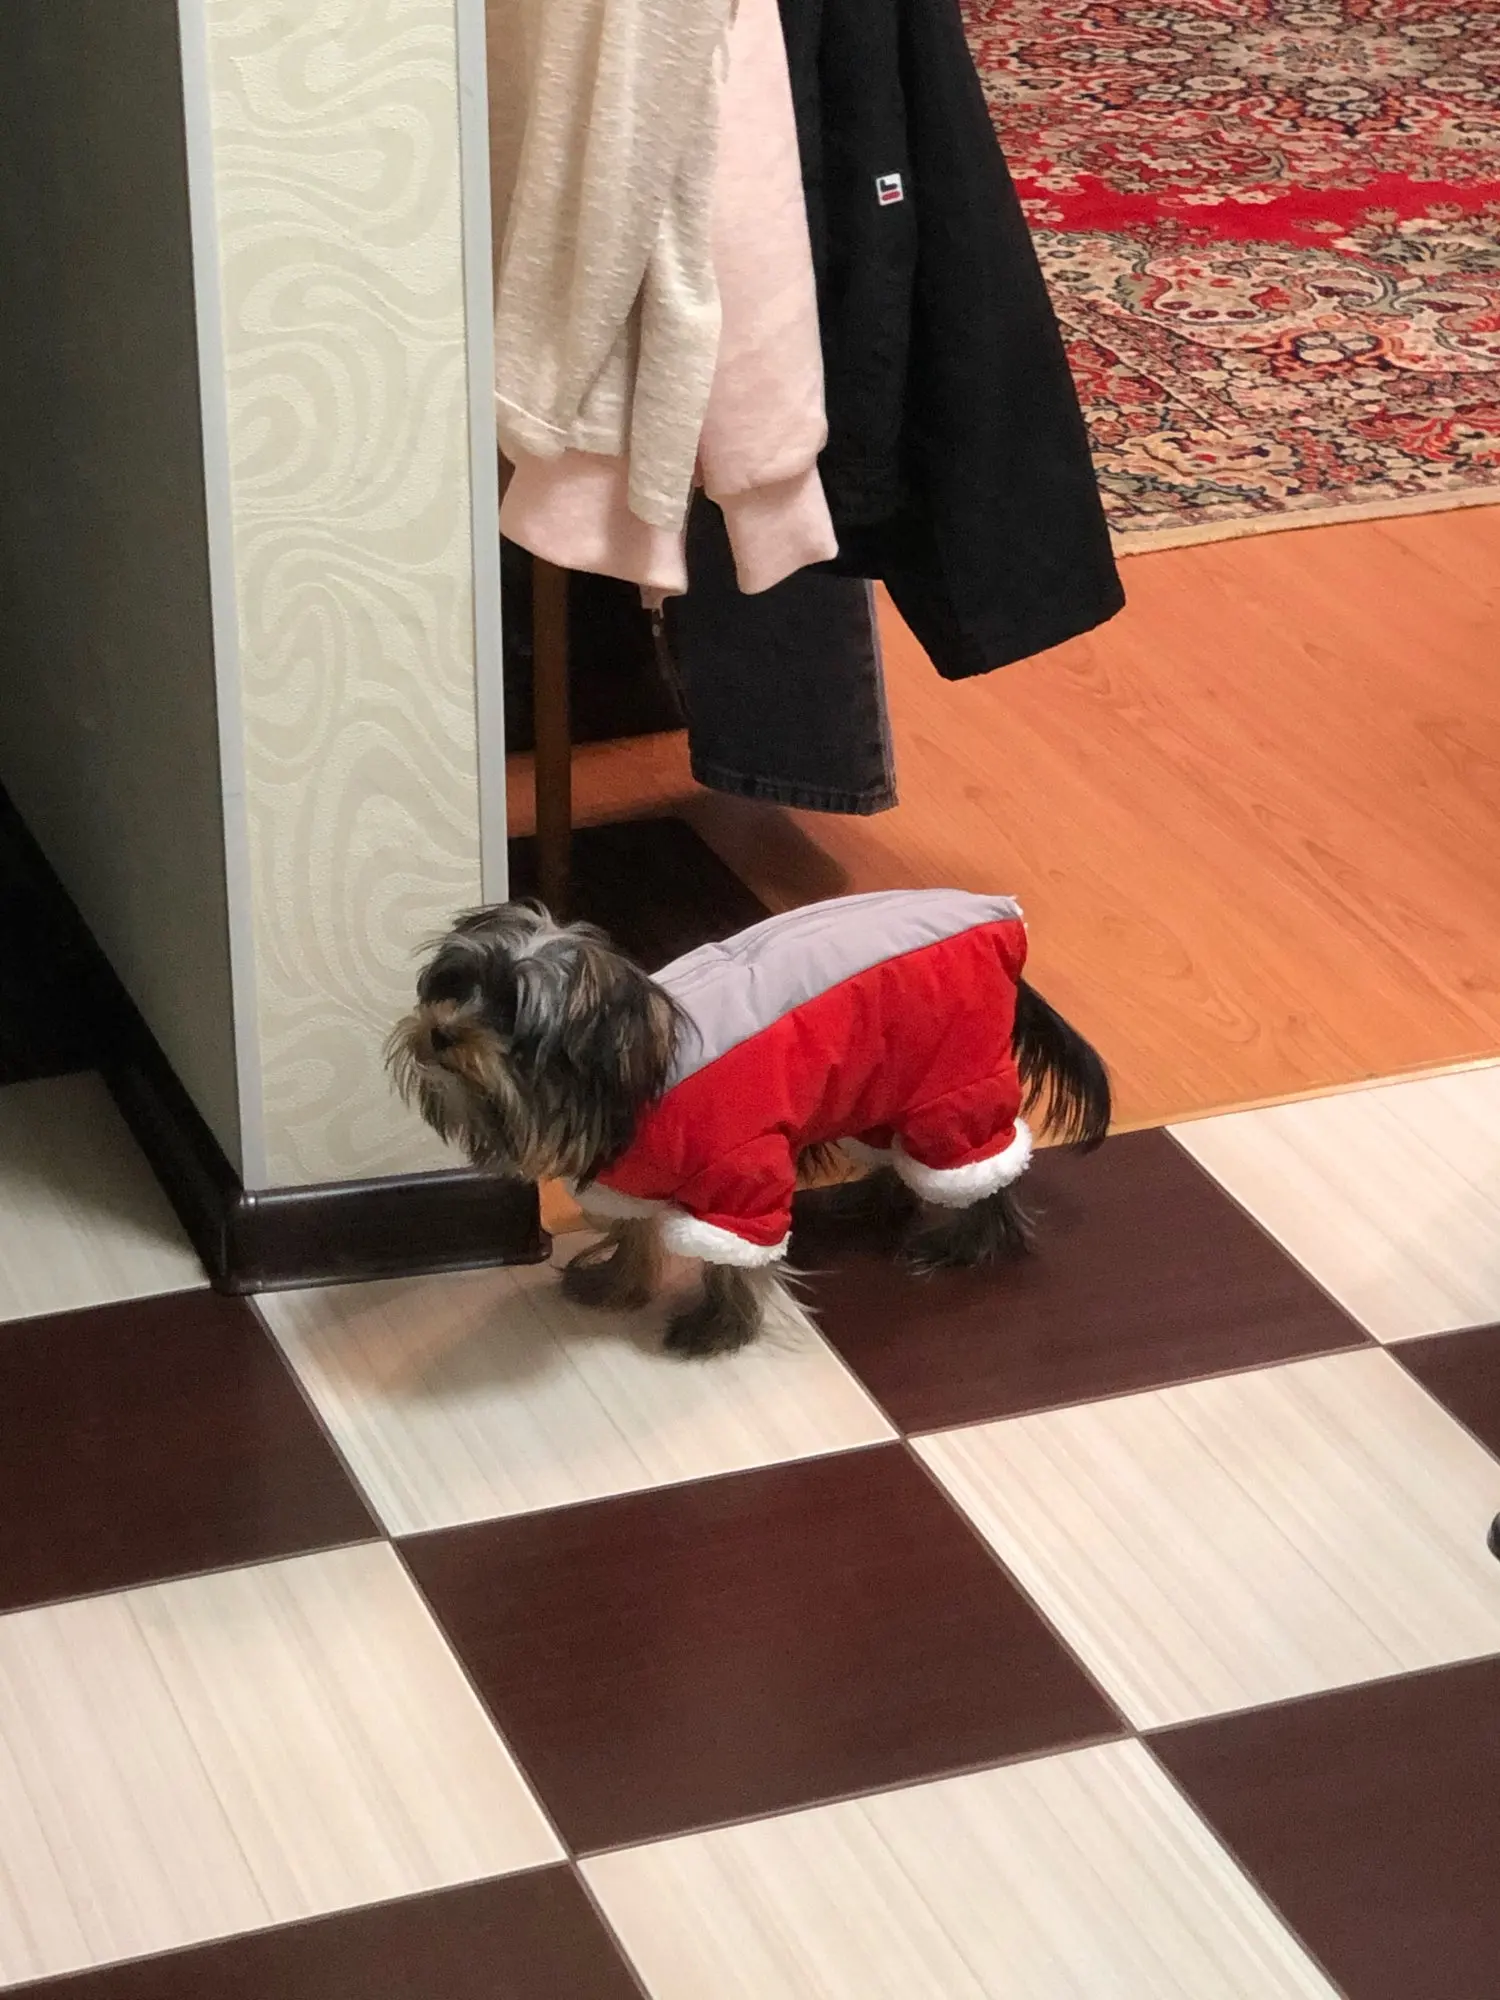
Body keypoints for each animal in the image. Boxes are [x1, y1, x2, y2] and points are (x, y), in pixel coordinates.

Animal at [388, 889, 1110, 1357]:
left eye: (509, 1009)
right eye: (455, 983)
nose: (439, 1030)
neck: (630, 1078)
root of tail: (1001, 917)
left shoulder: (742, 1177)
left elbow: (733, 1260)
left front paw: (718, 1328)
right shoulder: (635, 1179)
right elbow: (637, 1232)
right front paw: (617, 1282)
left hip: (947, 1080)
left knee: (980, 1163)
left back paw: (967, 1244)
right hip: (883, 1077)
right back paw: (871, 1203)